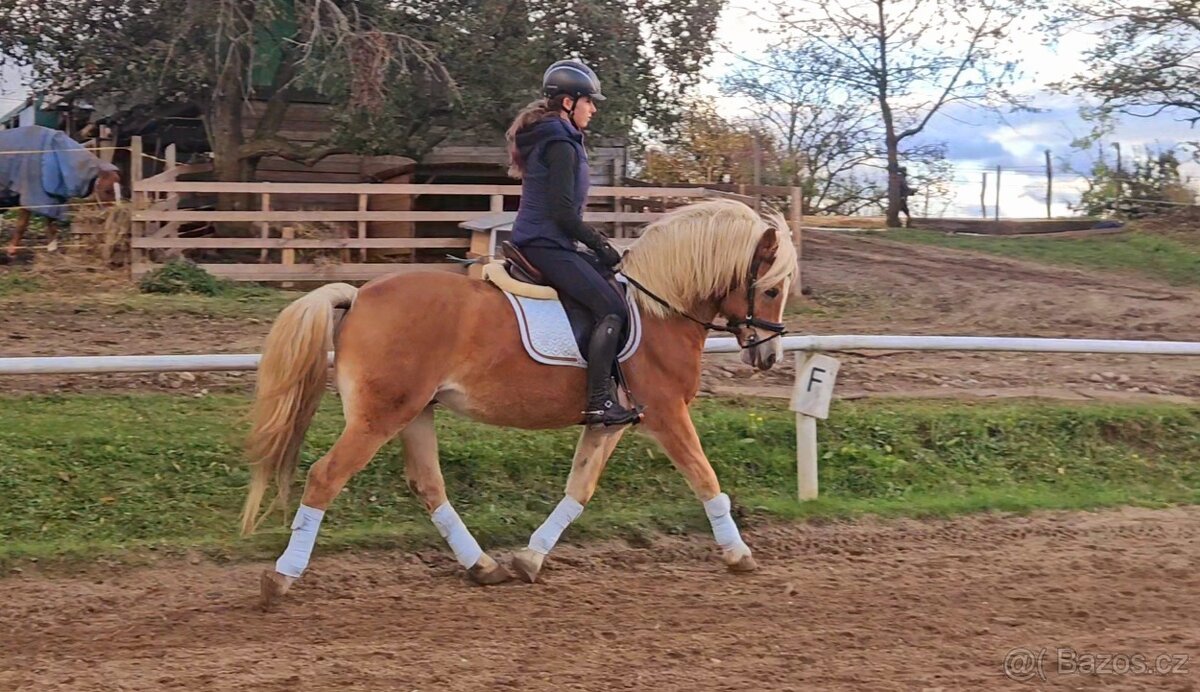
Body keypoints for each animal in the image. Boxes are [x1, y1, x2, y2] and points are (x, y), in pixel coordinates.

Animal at [0, 125, 122, 258]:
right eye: (107, 190)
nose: (117, 212)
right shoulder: (30, 196)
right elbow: (22, 224)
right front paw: (11, 252)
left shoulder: (51, 199)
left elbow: (51, 225)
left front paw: (53, 250)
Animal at [240, 198, 797, 609]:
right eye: (771, 290)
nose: (768, 356)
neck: (660, 306)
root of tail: (358, 297)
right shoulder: (666, 412)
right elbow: (706, 479)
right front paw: (739, 554)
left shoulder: (611, 422)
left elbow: (579, 488)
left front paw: (530, 559)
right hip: (380, 416)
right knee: (325, 478)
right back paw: (281, 578)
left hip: (415, 411)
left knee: (428, 485)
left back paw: (484, 567)